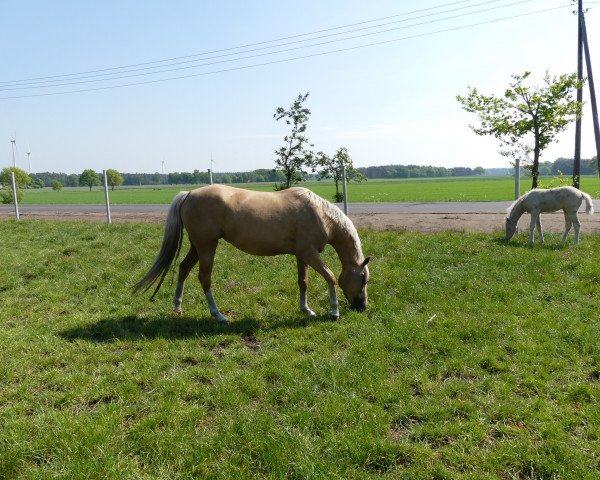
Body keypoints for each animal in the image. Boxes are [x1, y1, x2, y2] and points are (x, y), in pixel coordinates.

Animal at [134, 186, 370, 324]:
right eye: (364, 279)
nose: (362, 307)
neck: (320, 214)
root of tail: (189, 194)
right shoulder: (309, 253)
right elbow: (330, 276)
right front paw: (333, 312)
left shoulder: (301, 255)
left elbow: (303, 282)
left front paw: (306, 309)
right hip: (207, 247)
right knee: (204, 278)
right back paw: (218, 315)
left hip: (197, 247)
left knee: (183, 269)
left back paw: (177, 307)